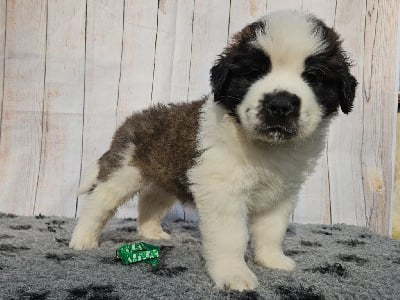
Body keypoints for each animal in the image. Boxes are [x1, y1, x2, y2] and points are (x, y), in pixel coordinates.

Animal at [69, 11, 356, 290]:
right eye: (253, 72)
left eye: (314, 77)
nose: (280, 105)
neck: (268, 148)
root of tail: (133, 119)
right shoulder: (222, 191)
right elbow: (231, 236)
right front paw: (234, 275)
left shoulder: (281, 194)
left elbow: (272, 230)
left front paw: (272, 260)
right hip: (124, 172)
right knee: (98, 203)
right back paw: (82, 239)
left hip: (166, 176)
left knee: (150, 200)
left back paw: (151, 232)